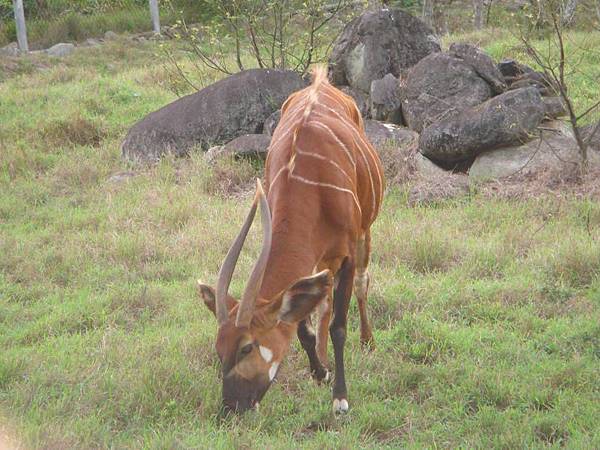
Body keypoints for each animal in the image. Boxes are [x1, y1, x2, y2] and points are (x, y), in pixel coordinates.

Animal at [197, 65, 384, 414]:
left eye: (246, 347)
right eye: (219, 349)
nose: (231, 406)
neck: (309, 186)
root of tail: (321, 81)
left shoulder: (348, 254)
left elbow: (339, 325)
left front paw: (340, 398)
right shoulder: (310, 262)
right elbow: (303, 326)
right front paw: (320, 372)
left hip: (365, 232)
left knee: (361, 283)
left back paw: (368, 341)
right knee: (323, 302)